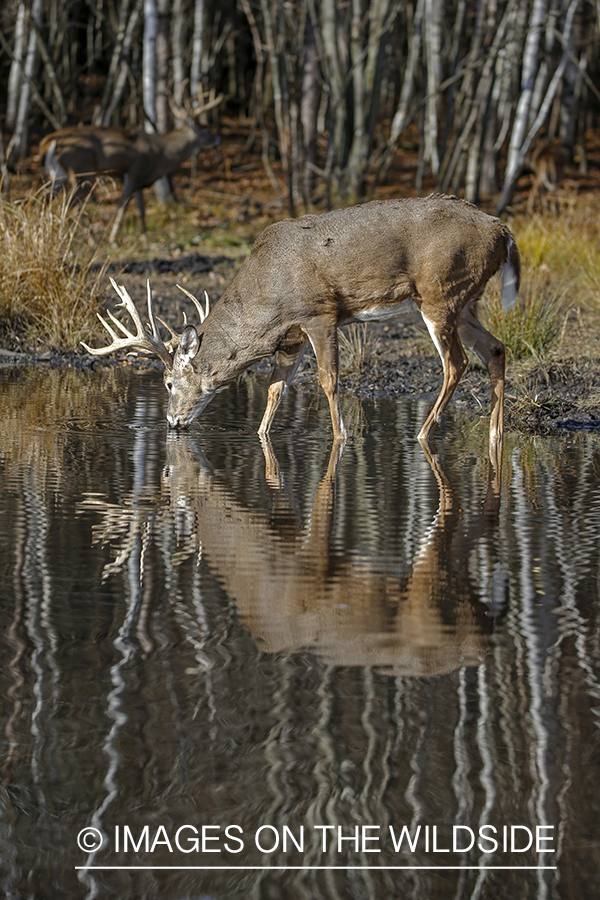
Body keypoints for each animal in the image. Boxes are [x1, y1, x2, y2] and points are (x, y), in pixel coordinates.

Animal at [40, 93, 223, 241]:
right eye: (206, 130)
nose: (218, 139)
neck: (161, 154)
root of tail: (49, 142)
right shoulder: (134, 172)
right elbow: (123, 207)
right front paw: (113, 239)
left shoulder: (139, 180)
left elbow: (141, 208)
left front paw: (144, 237)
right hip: (82, 172)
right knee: (74, 206)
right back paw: (92, 241)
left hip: (58, 175)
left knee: (45, 201)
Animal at [83, 198, 520, 450]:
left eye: (169, 383)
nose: (172, 424)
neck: (268, 296)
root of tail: (503, 230)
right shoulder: (290, 337)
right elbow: (275, 389)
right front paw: (261, 435)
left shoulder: (319, 313)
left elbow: (328, 380)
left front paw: (341, 437)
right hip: (465, 302)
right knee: (496, 348)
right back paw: (496, 432)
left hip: (439, 293)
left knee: (456, 363)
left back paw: (425, 433)